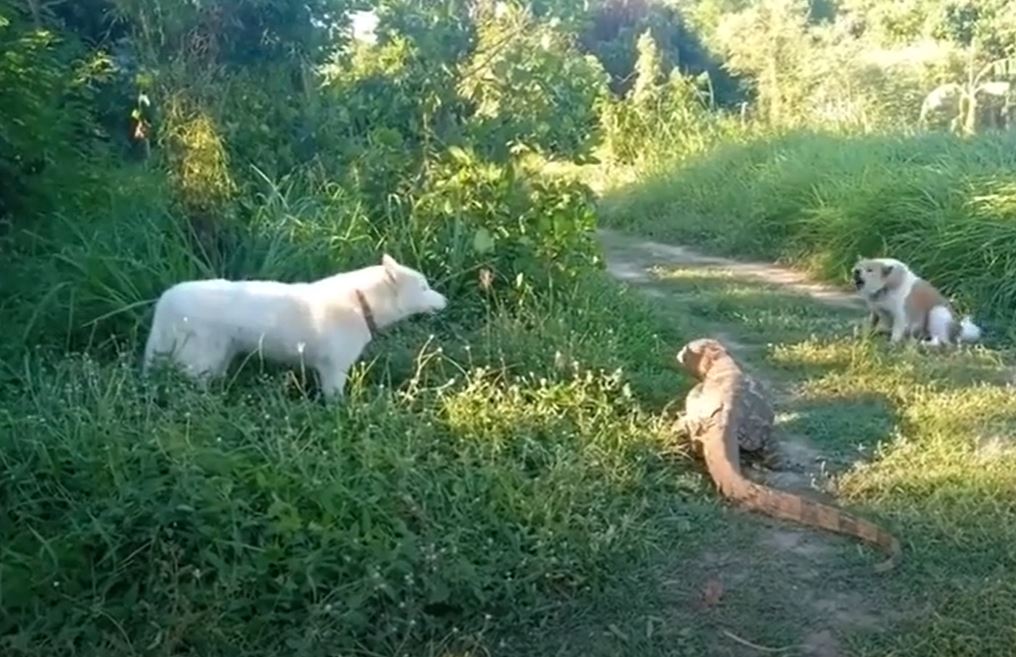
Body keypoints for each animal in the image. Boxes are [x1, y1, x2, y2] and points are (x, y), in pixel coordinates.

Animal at [143, 252, 449, 398]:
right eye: (424, 287)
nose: (446, 301)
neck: (360, 303)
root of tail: (167, 298)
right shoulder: (333, 371)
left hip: (218, 359)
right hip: (199, 365)